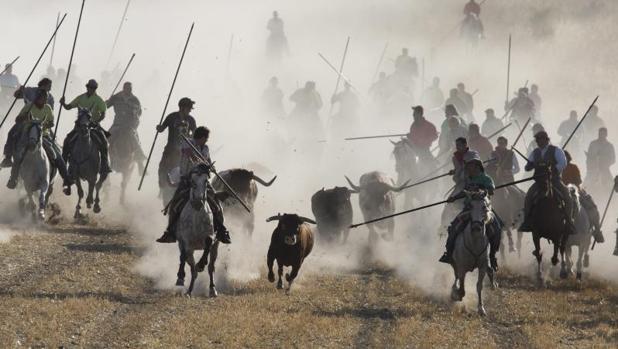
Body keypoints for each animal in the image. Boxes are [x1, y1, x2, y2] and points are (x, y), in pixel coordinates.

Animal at [174, 163, 220, 296]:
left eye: (206, 181)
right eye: (192, 182)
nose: (198, 202)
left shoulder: (212, 236)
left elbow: (208, 242)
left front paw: (201, 264)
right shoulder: (185, 241)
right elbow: (183, 256)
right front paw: (180, 277)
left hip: (216, 248)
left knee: (211, 267)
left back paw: (212, 289)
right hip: (189, 250)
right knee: (192, 269)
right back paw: (188, 290)